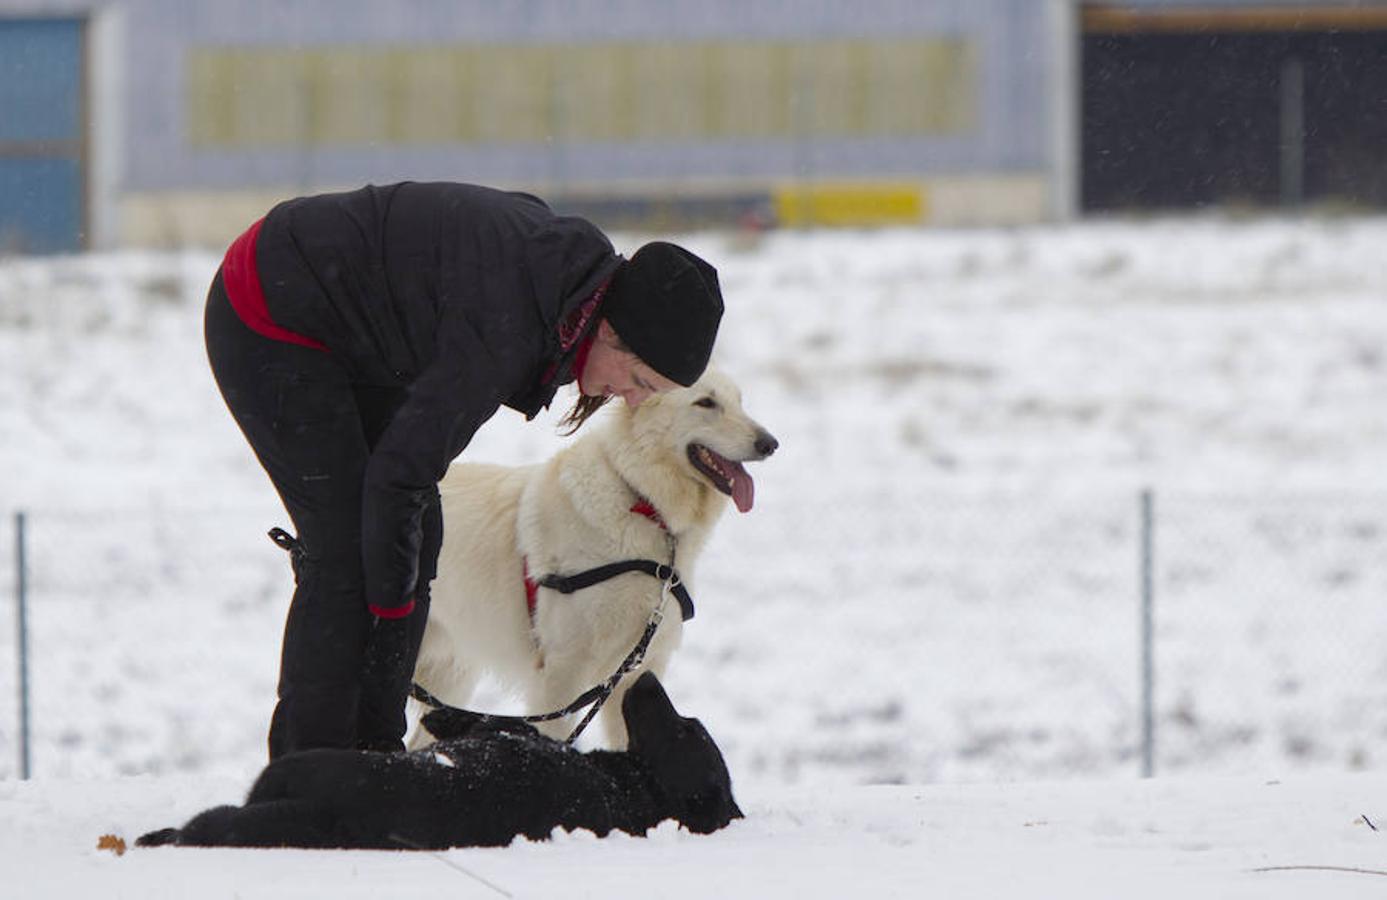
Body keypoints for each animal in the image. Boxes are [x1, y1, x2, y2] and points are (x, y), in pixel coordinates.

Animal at [410, 368, 782, 748]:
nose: (770, 444)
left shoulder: (637, 673)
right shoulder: (561, 676)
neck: (642, 502)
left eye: (740, 402)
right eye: (706, 403)